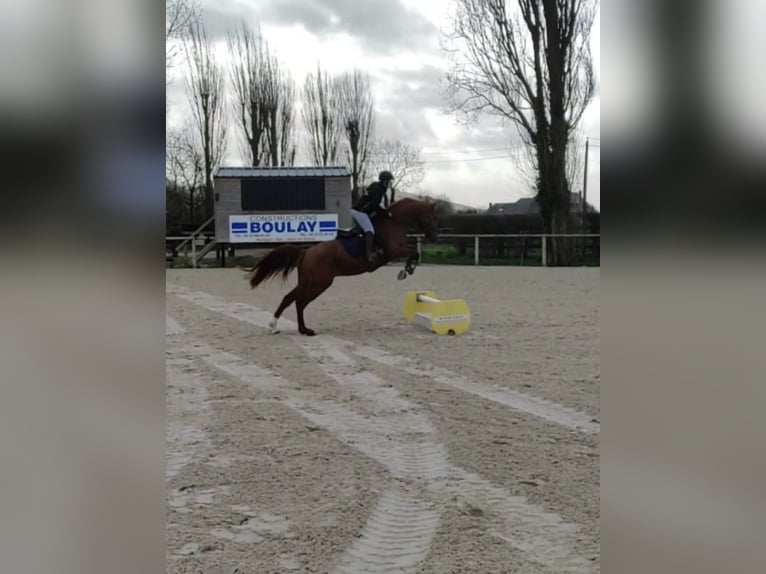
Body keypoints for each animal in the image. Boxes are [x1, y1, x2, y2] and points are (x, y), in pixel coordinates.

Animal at [243, 198, 440, 338]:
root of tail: (306, 252)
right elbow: (414, 253)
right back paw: (288, 328)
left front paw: (407, 268)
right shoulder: (393, 251)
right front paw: (407, 269)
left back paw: (294, 329)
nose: (434, 237)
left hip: (310, 281)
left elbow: (414, 253)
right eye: (431, 217)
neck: (395, 222)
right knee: (297, 300)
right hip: (319, 283)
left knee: (293, 299)